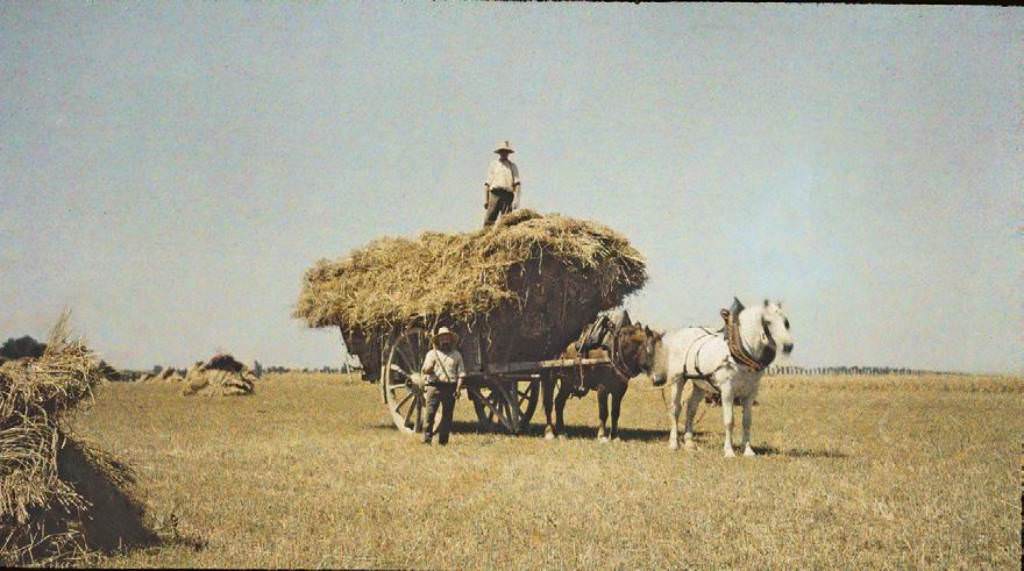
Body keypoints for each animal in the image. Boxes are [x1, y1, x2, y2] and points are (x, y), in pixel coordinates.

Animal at [651, 300, 794, 460]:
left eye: (786, 321)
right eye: (768, 322)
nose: (788, 346)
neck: (740, 354)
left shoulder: (751, 393)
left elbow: (747, 421)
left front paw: (748, 450)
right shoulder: (727, 391)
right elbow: (729, 421)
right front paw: (729, 451)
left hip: (701, 384)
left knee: (691, 408)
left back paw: (689, 443)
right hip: (678, 380)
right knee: (675, 409)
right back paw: (674, 443)